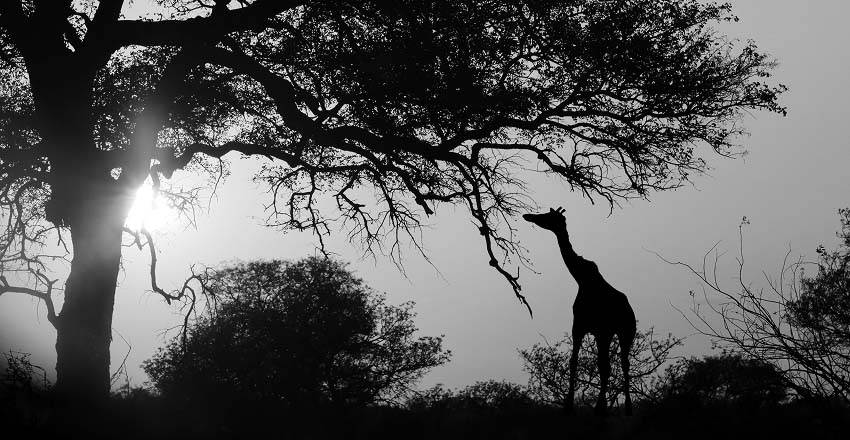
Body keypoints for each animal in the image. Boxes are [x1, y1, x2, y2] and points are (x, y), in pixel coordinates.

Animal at [523, 207, 637, 416]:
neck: (581, 278)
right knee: (619, 363)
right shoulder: (586, 328)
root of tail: (629, 310)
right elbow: (575, 362)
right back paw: (622, 407)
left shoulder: (587, 327)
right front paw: (570, 404)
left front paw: (581, 406)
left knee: (615, 365)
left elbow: (587, 364)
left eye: (547, 216)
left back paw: (614, 408)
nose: (528, 216)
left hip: (620, 332)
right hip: (617, 333)